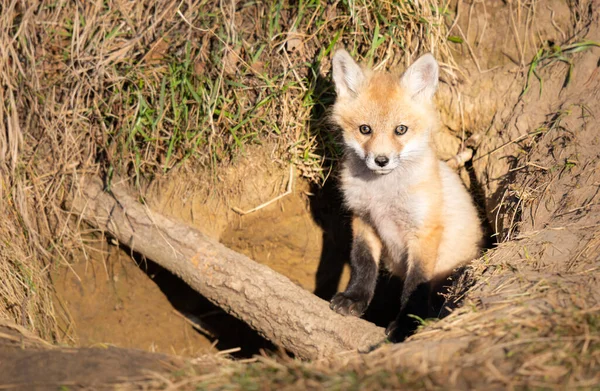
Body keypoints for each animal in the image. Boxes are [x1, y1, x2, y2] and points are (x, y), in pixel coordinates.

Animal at [328, 50, 482, 342]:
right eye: (365, 129)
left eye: (400, 130)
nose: (381, 160)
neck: (383, 196)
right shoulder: (363, 219)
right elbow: (363, 264)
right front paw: (355, 298)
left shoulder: (424, 231)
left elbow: (416, 284)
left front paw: (407, 325)